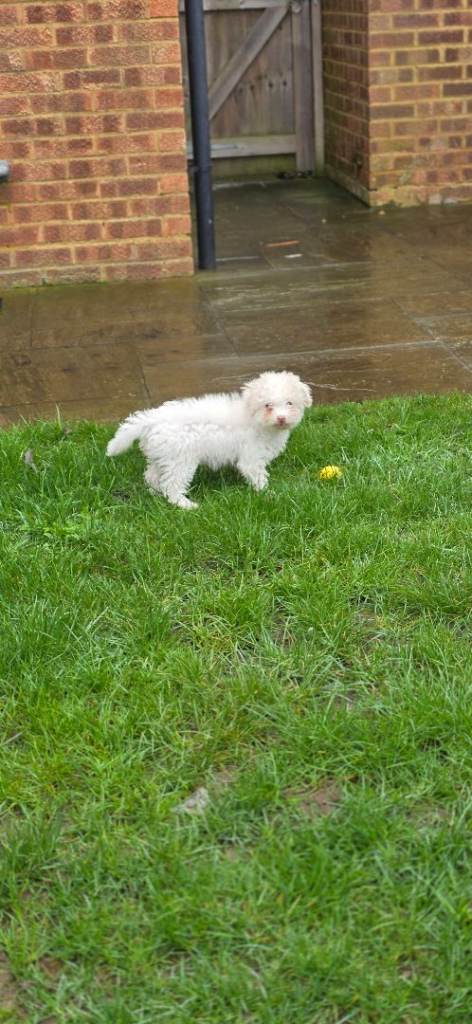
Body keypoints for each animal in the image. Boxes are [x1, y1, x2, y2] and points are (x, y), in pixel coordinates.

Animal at [106, 371, 312, 509]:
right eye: (268, 405)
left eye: (289, 403)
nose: (281, 418)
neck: (255, 418)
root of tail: (152, 419)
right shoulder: (251, 457)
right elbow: (258, 476)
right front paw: (268, 494)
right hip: (180, 460)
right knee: (172, 485)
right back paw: (185, 504)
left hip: (163, 456)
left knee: (152, 476)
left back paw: (155, 493)